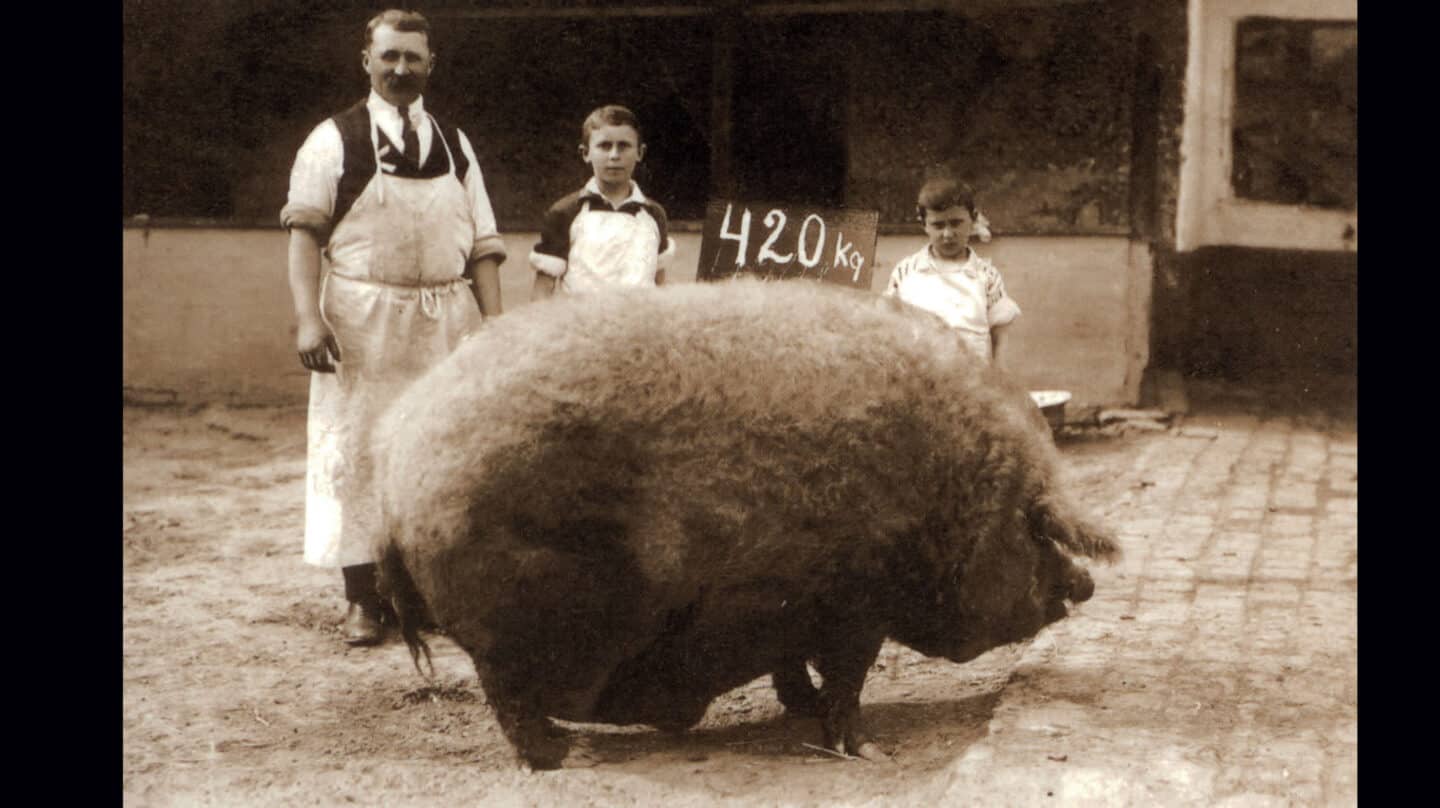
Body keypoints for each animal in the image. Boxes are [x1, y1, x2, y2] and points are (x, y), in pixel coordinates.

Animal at [371, 276, 1111, 766]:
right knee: (507, 695)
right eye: (1033, 525)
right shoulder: (856, 605)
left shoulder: (794, 607)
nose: (1085, 583)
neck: (943, 495)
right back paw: (556, 755)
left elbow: (796, 669)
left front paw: (803, 711)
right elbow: (849, 677)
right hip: (504, 626)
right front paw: (863, 748)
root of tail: (399, 451)